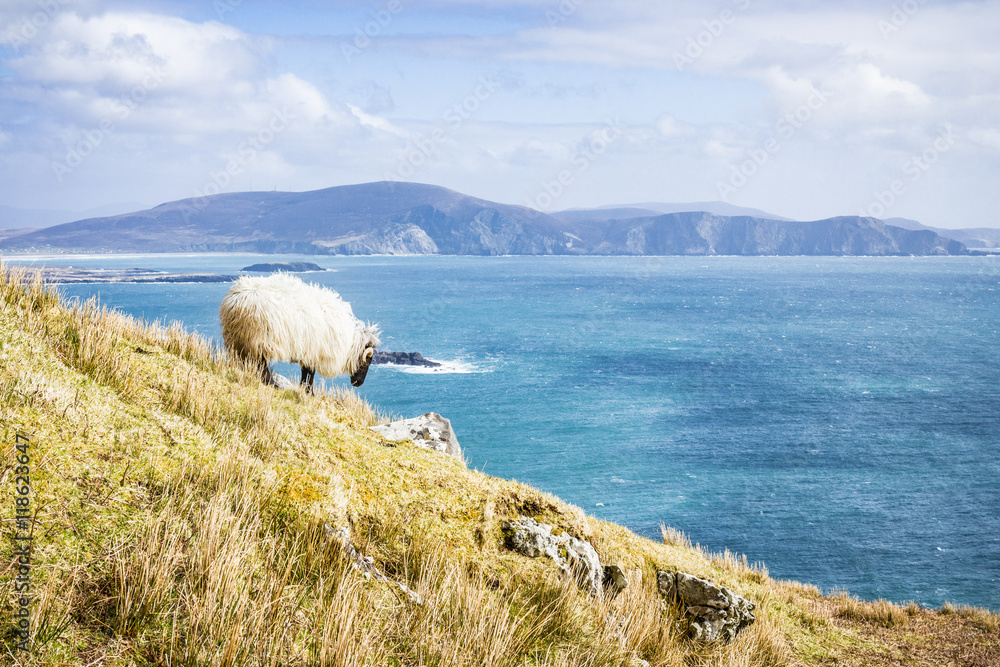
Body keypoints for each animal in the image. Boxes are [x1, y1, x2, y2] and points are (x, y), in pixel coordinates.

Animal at [219, 273, 380, 391]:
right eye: (368, 360)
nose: (358, 383)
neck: (348, 345)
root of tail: (236, 299)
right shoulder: (315, 351)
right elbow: (311, 372)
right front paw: (309, 391)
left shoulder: (308, 350)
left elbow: (305, 371)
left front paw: (303, 388)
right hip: (258, 339)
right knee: (262, 365)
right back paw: (272, 384)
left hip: (239, 339)